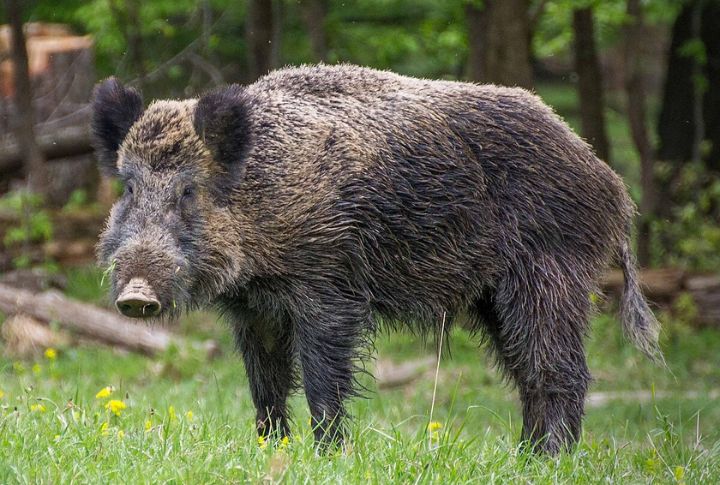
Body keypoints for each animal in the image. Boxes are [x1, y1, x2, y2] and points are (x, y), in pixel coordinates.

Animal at [91, 64, 661, 454]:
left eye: (188, 191)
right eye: (128, 187)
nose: (136, 295)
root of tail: (612, 185)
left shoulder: (328, 285)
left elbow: (322, 378)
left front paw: (326, 456)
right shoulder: (255, 310)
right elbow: (265, 384)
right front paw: (271, 448)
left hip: (549, 273)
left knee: (559, 369)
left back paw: (548, 459)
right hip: (495, 298)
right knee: (527, 372)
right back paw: (524, 455)